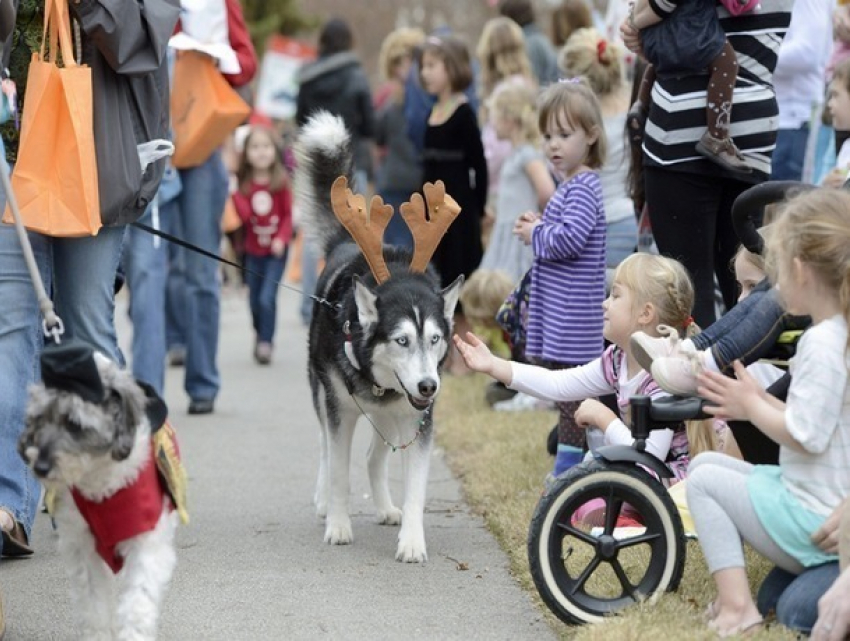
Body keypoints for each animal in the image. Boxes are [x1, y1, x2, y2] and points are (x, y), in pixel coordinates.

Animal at [19, 342, 185, 636]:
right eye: (39, 419)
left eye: (74, 423)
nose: (40, 467)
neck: (102, 484)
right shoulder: (82, 547)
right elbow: (93, 605)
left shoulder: (146, 542)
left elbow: (137, 602)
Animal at [294, 112, 460, 564]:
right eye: (401, 340)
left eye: (435, 339)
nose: (429, 385)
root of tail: (346, 243)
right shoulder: (339, 411)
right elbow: (338, 470)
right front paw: (338, 525)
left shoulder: (418, 421)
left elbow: (416, 488)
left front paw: (412, 540)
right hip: (320, 394)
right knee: (323, 448)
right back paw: (321, 501)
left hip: (392, 420)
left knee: (373, 458)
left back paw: (386, 508)